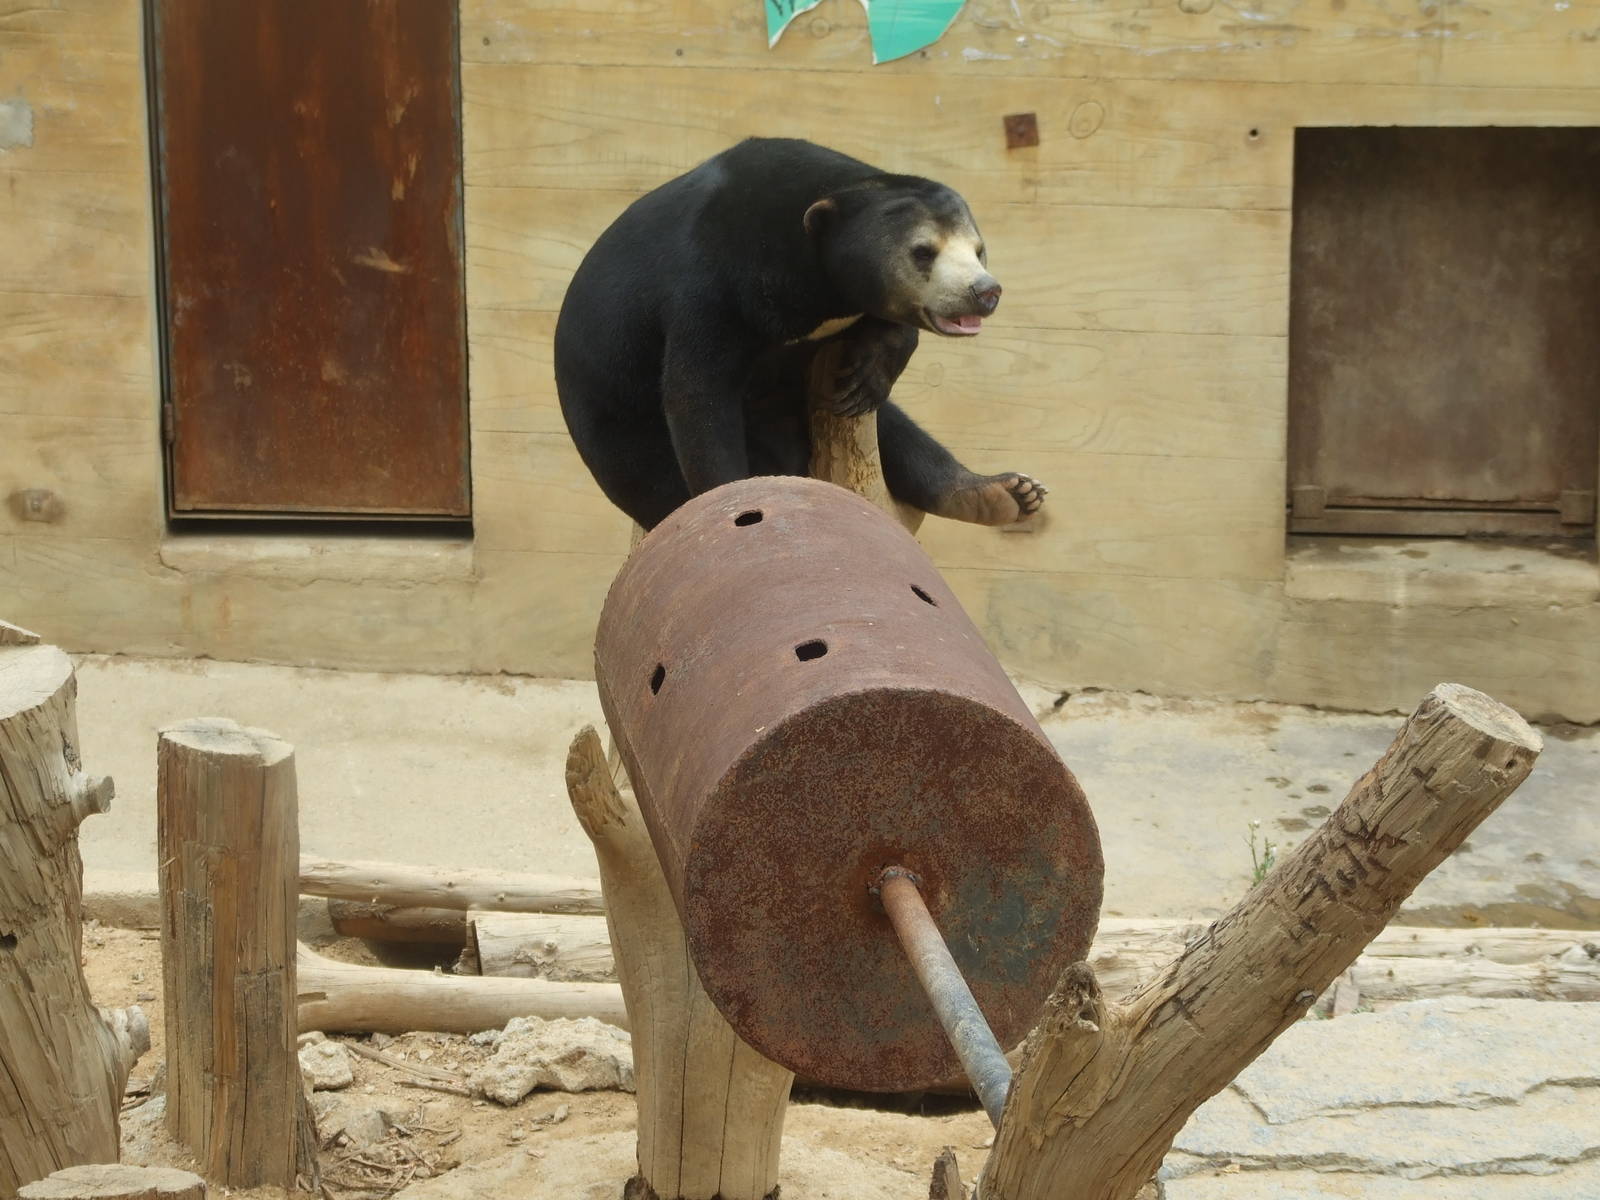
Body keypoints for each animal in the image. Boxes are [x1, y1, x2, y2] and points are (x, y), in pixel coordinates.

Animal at [553, 136, 1048, 531]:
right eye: (923, 252)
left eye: (979, 250)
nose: (984, 292)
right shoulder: (709, 283)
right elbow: (697, 394)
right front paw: (736, 503)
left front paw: (869, 373)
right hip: (619, 426)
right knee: (653, 478)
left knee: (897, 430)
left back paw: (1004, 494)